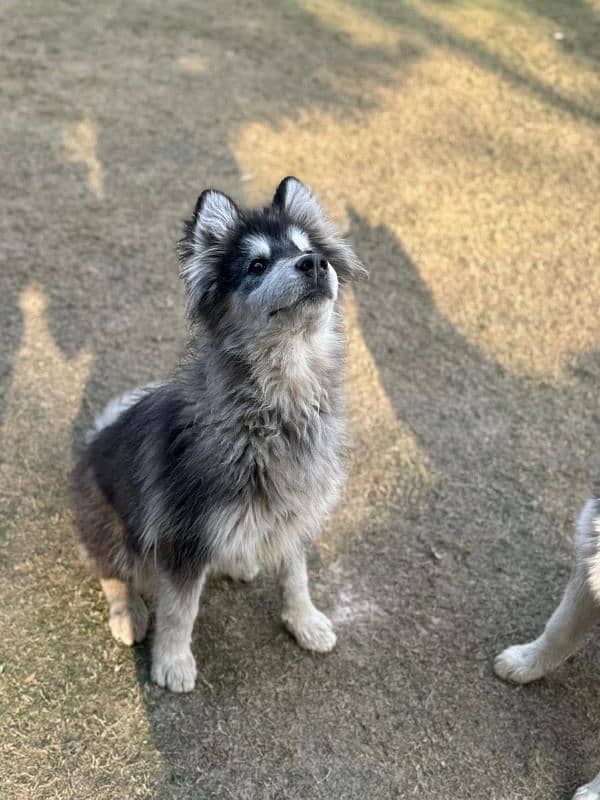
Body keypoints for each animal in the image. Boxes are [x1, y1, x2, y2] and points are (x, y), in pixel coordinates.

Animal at [74, 178, 366, 692]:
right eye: (256, 264)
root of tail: (94, 439)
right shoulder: (184, 535)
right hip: (111, 525)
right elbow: (180, 610)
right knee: (111, 569)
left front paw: (305, 622)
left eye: (307, 249)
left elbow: (296, 577)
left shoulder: (294, 513)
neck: (273, 411)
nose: (315, 264)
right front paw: (172, 663)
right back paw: (128, 613)